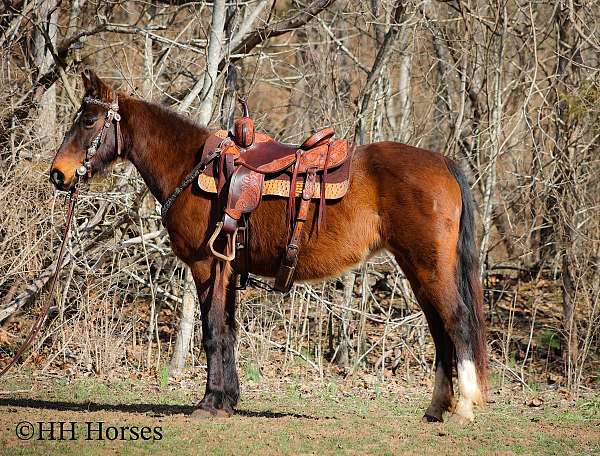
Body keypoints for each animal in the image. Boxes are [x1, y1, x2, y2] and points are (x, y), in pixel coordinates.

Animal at [49, 70, 486, 424]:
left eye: (88, 120)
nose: (58, 174)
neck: (192, 168)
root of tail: (443, 163)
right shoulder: (226, 269)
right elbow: (227, 330)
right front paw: (227, 400)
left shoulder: (207, 266)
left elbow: (213, 332)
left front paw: (209, 403)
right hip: (418, 270)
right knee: (440, 331)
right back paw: (436, 408)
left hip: (429, 268)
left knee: (457, 322)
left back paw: (463, 408)